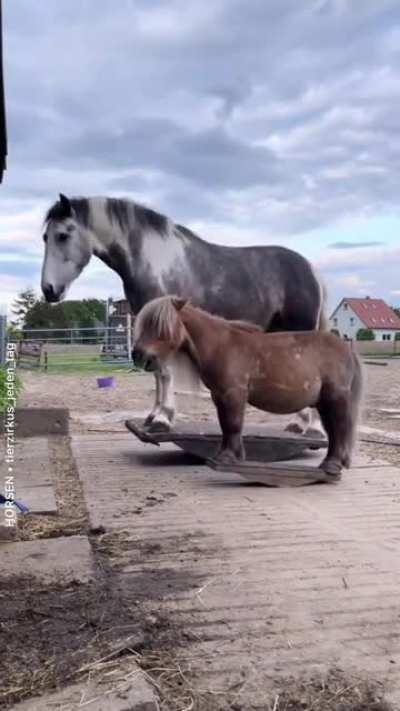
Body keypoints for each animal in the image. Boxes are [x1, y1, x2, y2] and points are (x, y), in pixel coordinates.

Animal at [41, 193, 326, 434]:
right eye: (45, 237)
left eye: (63, 235)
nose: (49, 290)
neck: (154, 261)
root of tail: (310, 269)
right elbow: (157, 373)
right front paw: (153, 416)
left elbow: (165, 372)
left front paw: (163, 419)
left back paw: (306, 427)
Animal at [133, 296, 363, 476]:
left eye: (160, 326)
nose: (137, 355)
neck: (222, 346)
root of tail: (347, 349)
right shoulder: (219, 396)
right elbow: (226, 426)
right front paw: (227, 455)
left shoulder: (234, 394)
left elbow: (233, 424)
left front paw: (227, 458)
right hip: (324, 403)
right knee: (333, 431)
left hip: (335, 398)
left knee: (340, 428)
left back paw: (332, 465)